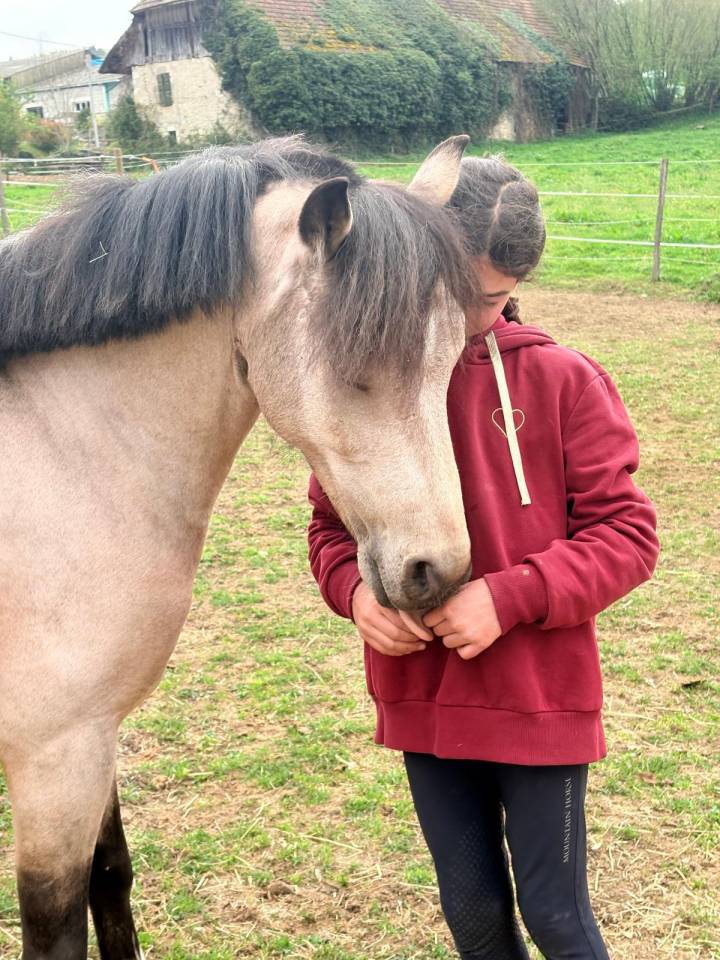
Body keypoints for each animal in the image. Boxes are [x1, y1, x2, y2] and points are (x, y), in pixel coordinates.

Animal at [0, 134, 473, 959]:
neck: (64, 457)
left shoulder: (93, 738)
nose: (436, 570)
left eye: (451, 359)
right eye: (358, 373)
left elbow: (111, 876)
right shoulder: (53, 756)